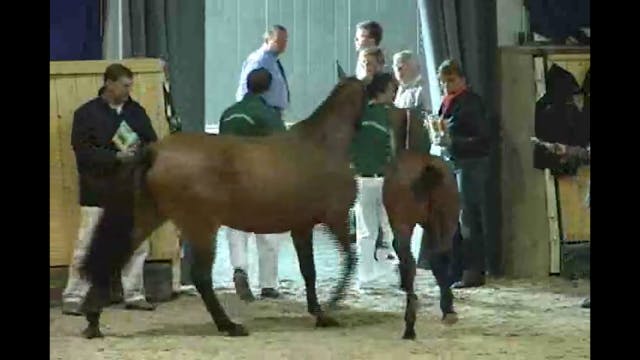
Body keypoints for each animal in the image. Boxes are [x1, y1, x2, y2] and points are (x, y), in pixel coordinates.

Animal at [77, 77, 364, 338]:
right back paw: (228, 325)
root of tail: (155, 152)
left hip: (148, 217)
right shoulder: (336, 218)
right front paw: (331, 306)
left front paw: (320, 312)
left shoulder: (302, 227)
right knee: (201, 276)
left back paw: (92, 322)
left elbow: (309, 271)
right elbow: (350, 260)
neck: (321, 145)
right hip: (201, 227)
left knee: (114, 257)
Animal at [384, 110, 460, 340]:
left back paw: (410, 325)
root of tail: (428, 168)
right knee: (442, 255)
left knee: (409, 261)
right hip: (447, 221)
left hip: (404, 224)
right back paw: (448, 311)